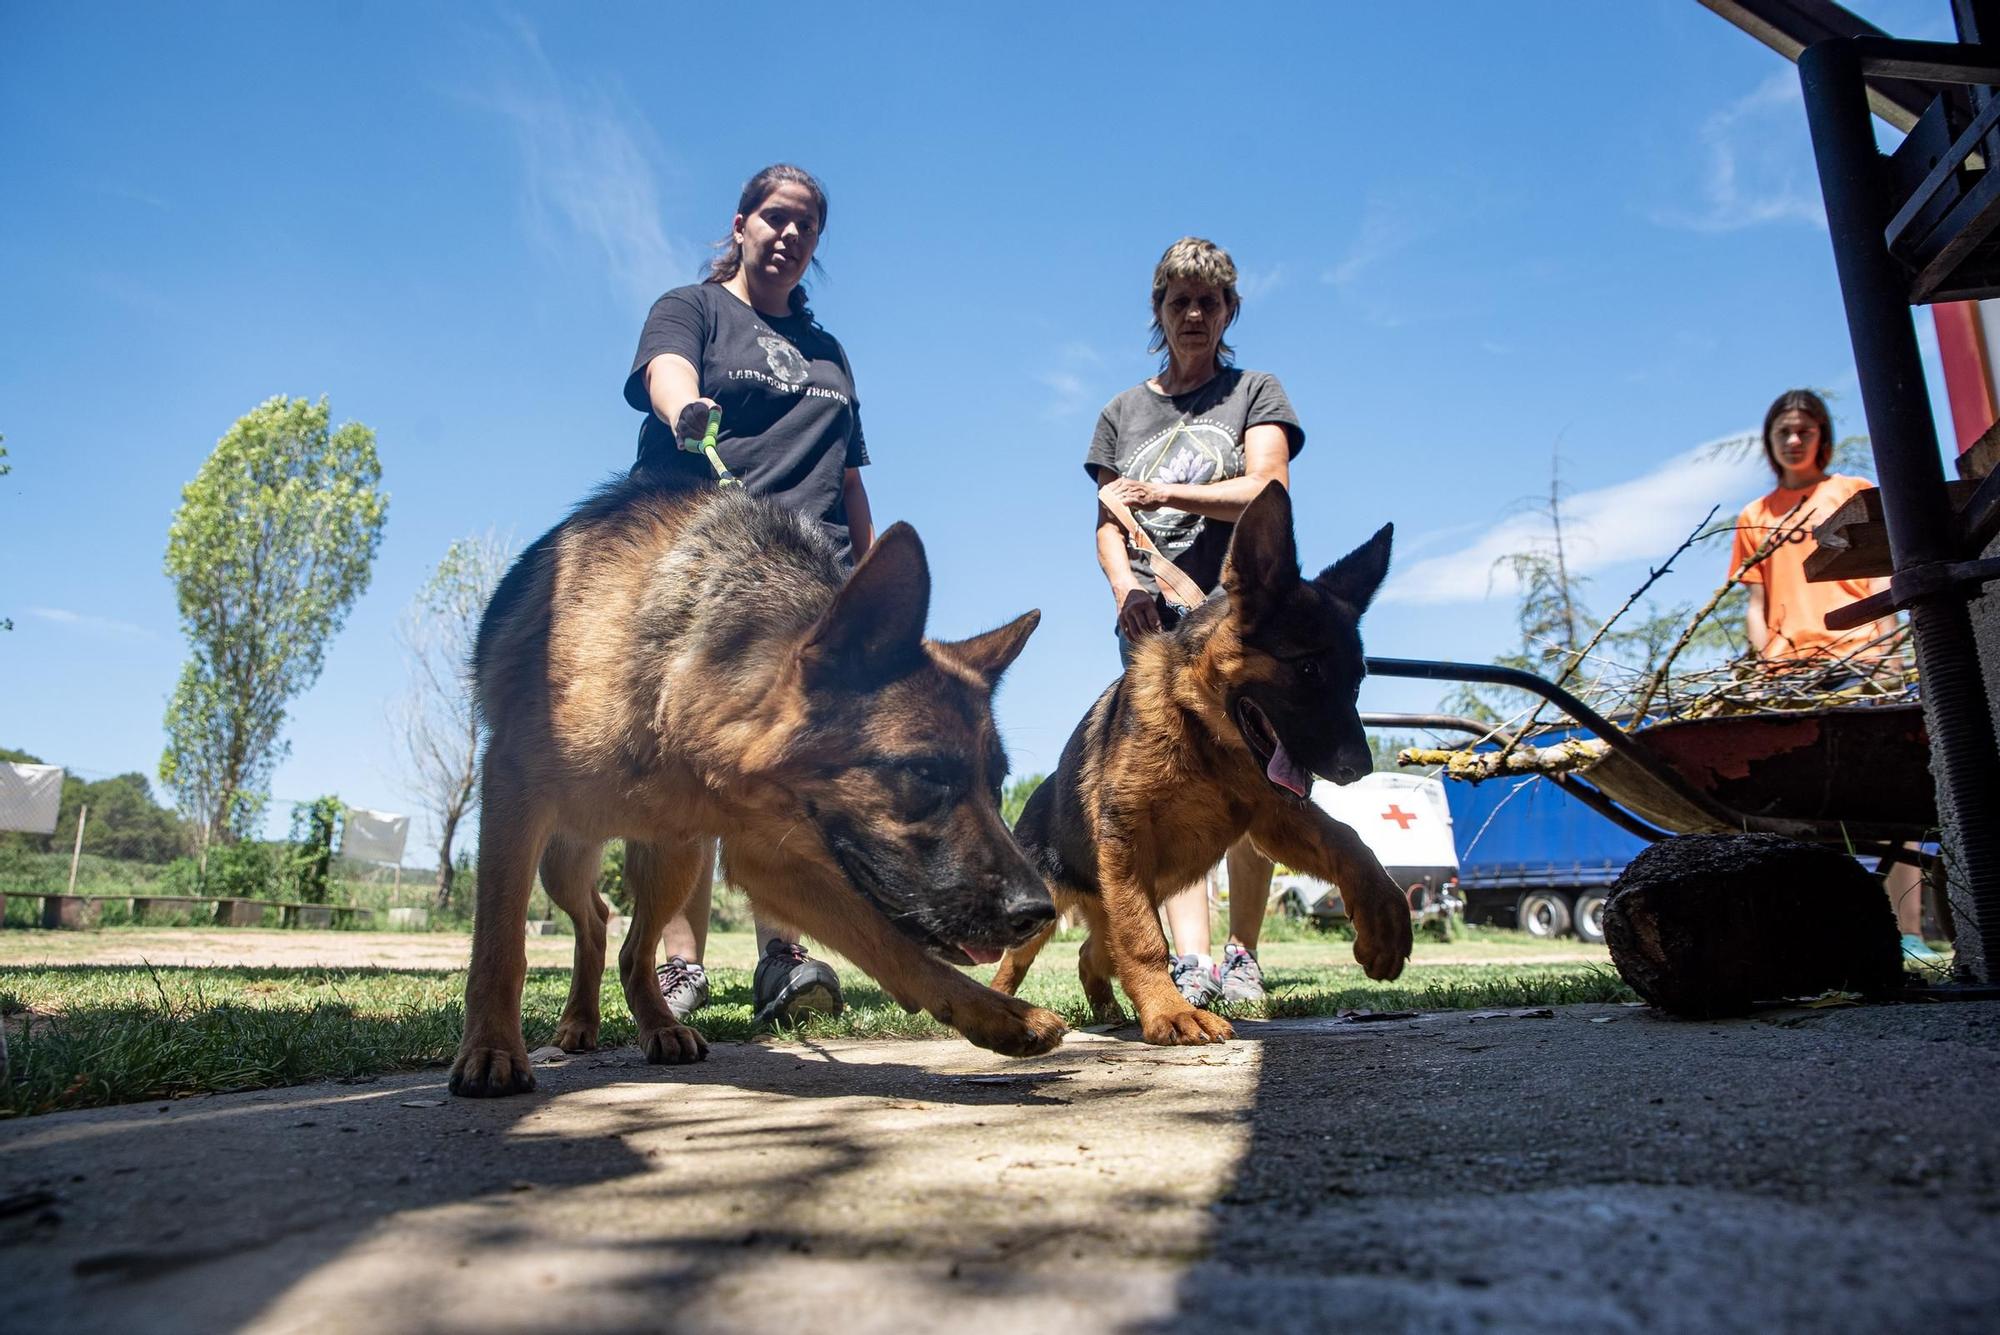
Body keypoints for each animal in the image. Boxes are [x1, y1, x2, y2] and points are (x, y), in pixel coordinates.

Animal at [456, 479, 1072, 1095]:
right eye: (924, 773)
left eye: (997, 784)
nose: (1040, 912)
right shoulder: (511, 793)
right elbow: (500, 945)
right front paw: (492, 1049)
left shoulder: (770, 857)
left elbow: (894, 945)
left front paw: (998, 1014)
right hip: (563, 861)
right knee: (593, 922)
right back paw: (580, 1022)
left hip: (674, 859)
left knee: (626, 944)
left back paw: (655, 1023)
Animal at [996, 479, 1408, 1039]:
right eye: (1307, 669)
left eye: (1357, 681)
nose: (1358, 769)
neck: (1204, 734)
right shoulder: (1128, 839)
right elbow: (1146, 942)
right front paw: (1170, 1012)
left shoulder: (1274, 820)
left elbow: (1349, 839)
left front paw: (1384, 917)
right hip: (1057, 909)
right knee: (1016, 962)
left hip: (1109, 905)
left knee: (1090, 953)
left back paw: (1107, 1010)